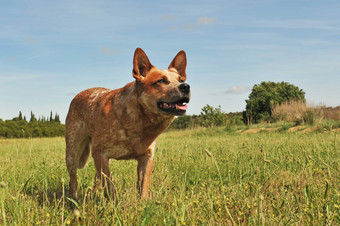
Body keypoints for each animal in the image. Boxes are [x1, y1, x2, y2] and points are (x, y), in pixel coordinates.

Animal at [65, 46, 190, 199]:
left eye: (181, 79)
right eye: (161, 80)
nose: (185, 86)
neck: (141, 122)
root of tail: (79, 94)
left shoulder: (147, 158)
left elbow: (144, 186)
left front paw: (143, 202)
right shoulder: (100, 153)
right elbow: (110, 185)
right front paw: (113, 202)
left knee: (96, 177)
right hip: (72, 153)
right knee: (73, 179)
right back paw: (73, 198)